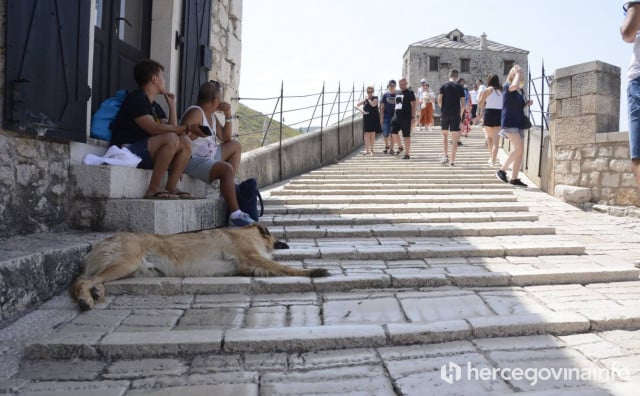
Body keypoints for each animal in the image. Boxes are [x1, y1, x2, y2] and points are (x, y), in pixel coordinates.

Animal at [72, 224, 328, 310]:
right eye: (274, 235)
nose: (285, 243)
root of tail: (103, 241)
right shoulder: (250, 256)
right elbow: (285, 267)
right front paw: (312, 271)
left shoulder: (247, 266)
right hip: (128, 261)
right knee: (81, 280)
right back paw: (86, 298)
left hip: (131, 269)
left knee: (91, 279)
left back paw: (97, 292)